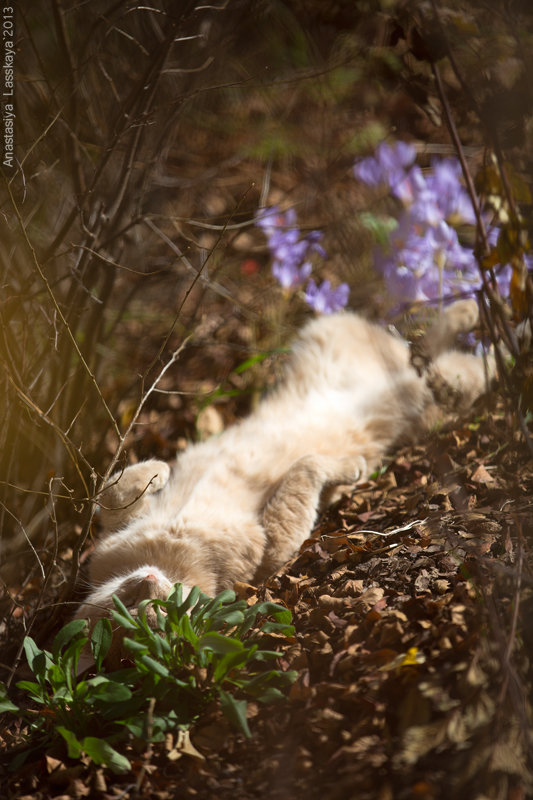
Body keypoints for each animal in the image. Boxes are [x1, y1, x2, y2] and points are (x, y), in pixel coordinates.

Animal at [76, 300, 490, 636]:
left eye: (135, 602)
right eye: (150, 612)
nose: (148, 582)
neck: (162, 555)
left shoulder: (113, 532)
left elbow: (109, 490)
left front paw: (161, 470)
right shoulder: (271, 545)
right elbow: (305, 472)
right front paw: (351, 469)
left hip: (328, 334)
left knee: (421, 351)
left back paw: (467, 312)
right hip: (427, 413)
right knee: (463, 371)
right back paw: (466, 349)